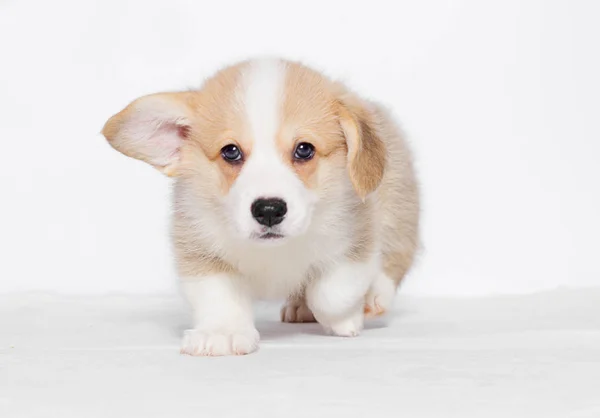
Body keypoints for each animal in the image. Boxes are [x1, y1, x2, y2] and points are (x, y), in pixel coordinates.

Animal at [101, 57, 420, 354]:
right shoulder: (201, 252)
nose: (269, 210)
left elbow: (331, 293)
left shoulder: (356, 240)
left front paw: (347, 317)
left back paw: (374, 296)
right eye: (230, 151)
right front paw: (222, 333)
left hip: (398, 209)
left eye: (304, 149)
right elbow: (220, 298)